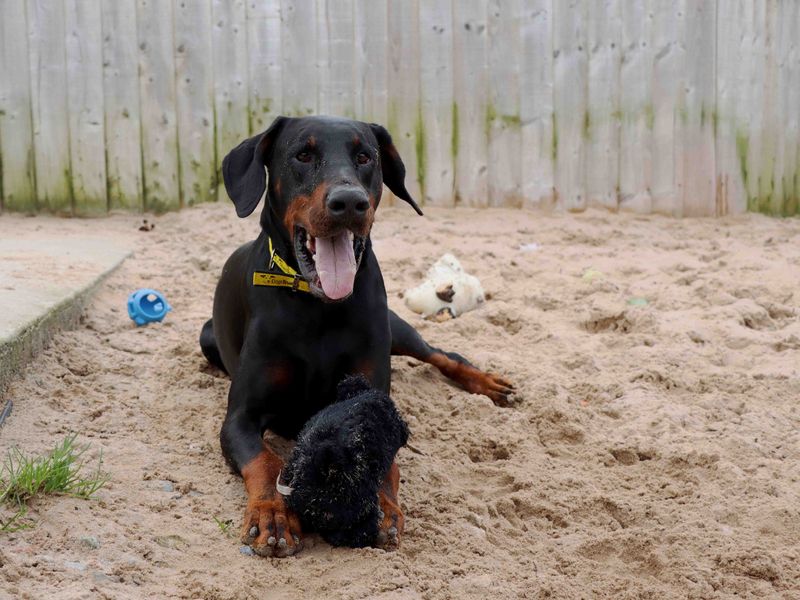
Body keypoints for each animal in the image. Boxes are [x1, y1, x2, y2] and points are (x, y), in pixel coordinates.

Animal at [199, 117, 512, 556]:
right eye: (303, 154)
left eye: (365, 157)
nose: (349, 203)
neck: (319, 308)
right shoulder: (240, 417)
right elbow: (265, 460)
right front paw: (273, 514)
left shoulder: (373, 391)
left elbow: (385, 454)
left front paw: (381, 508)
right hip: (206, 337)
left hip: (398, 328)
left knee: (441, 353)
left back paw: (487, 383)